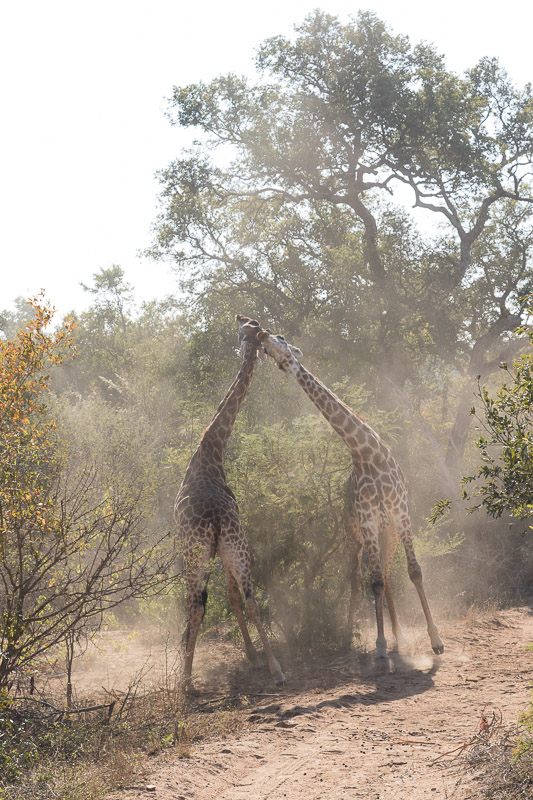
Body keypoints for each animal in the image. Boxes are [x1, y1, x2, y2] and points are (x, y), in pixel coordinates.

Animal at [175, 317, 286, 688]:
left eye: (244, 328)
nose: (238, 319)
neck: (211, 450)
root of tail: (215, 518)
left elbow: (211, 601)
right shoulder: (223, 549)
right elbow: (235, 598)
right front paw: (252, 656)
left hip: (197, 551)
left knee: (196, 604)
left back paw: (186, 679)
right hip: (237, 546)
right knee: (251, 598)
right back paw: (277, 669)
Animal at [237, 316, 444, 659]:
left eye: (281, 337)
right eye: (268, 351)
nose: (263, 336)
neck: (366, 453)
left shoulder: (401, 514)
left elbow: (414, 571)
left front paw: (436, 640)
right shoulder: (369, 521)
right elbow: (372, 583)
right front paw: (380, 645)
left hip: (388, 532)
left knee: (387, 575)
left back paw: (399, 637)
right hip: (355, 536)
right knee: (358, 578)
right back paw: (351, 637)